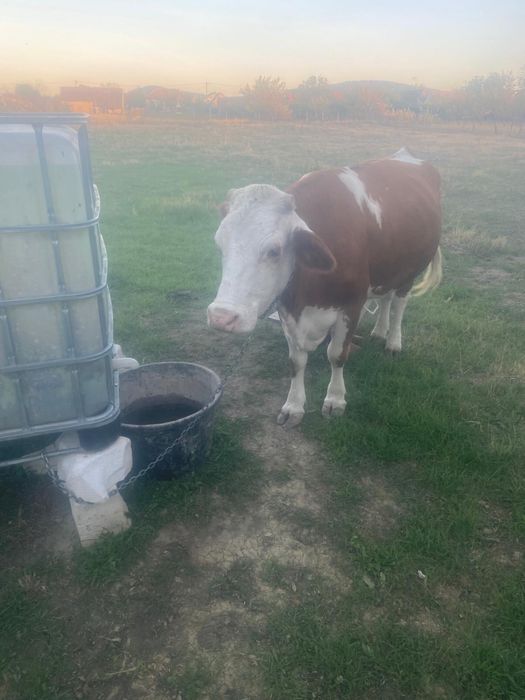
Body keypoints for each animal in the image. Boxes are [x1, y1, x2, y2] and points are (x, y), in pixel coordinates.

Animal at [207, 148, 442, 428]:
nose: (221, 316)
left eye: (274, 251)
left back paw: (393, 342)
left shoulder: (351, 306)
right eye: (219, 244)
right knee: (385, 299)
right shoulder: (289, 311)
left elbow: (337, 354)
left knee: (398, 304)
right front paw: (293, 406)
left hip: (410, 271)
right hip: (388, 269)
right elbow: (296, 361)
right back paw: (378, 332)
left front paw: (335, 400)